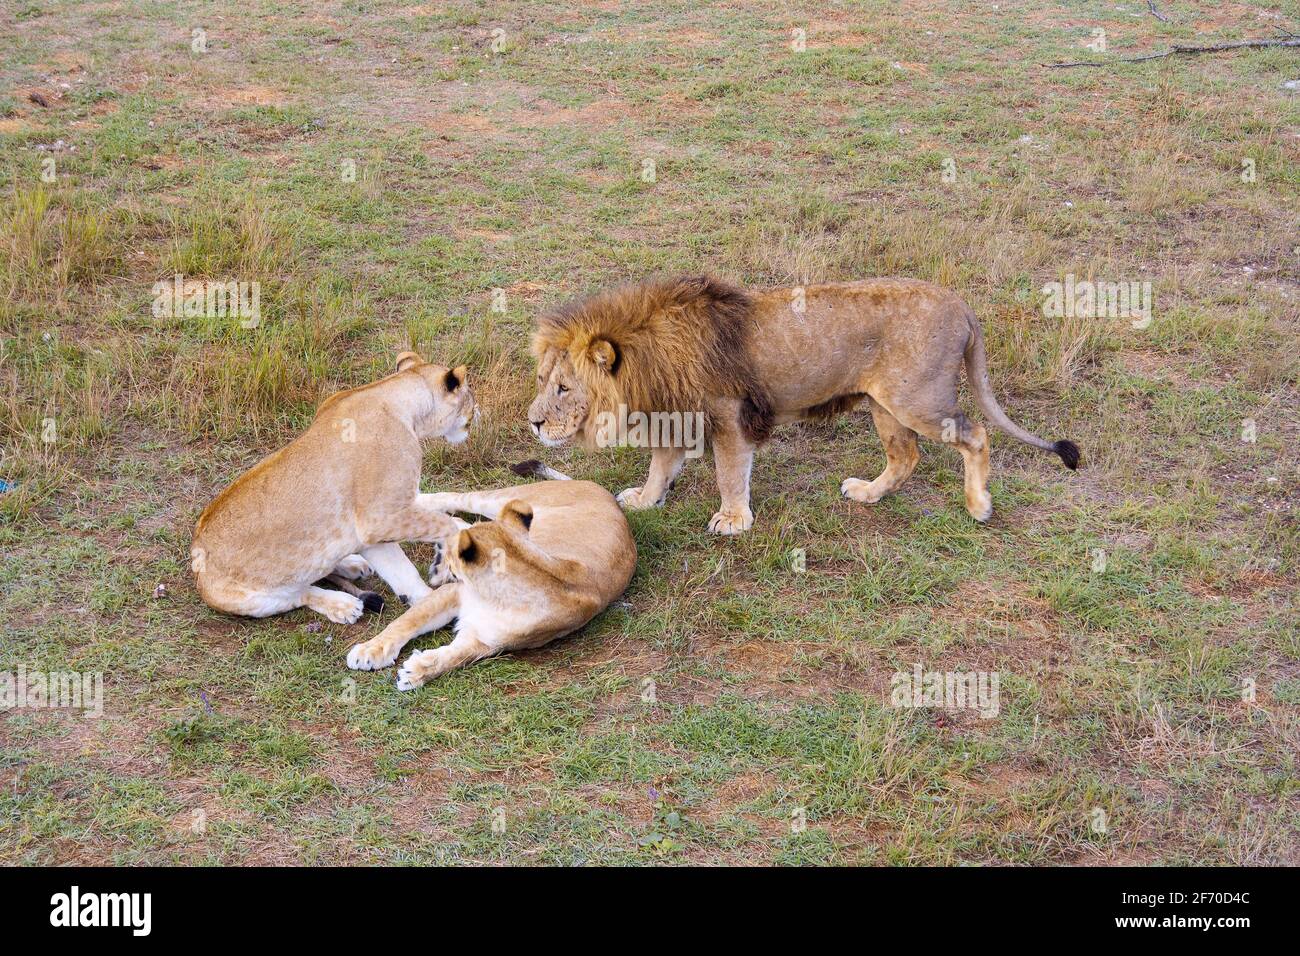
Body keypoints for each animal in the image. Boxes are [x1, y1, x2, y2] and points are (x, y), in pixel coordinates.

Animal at [192, 350, 476, 624]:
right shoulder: (378, 519)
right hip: (254, 600)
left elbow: (405, 566)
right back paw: (344, 605)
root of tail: (196, 557)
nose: (479, 411)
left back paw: (352, 564)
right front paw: (451, 552)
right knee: (302, 593)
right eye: (471, 399)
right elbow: (445, 525)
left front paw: (430, 602)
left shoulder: (373, 530)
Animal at [344, 477, 636, 688]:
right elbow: (407, 622)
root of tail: (609, 496)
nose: (447, 556)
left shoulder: (484, 640)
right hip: (506, 498)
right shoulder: (453, 593)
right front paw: (371, 650)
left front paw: (416, 671)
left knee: (456, 518)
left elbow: (454, 657)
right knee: (457, 498)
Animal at [527, 275, 1079, 533]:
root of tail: (962, 304)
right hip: (883, 405)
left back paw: (978, 505)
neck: (648, 362)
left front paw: (732, 520)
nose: (532, 424)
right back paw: (868, 493)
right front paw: (645, 499)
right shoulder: (677, 418)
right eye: (541, 379)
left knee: (976, 435)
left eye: (563, 389)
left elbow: (730, 474)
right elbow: (660, 468)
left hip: (916, 399)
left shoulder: (729, 417)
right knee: (906, 456)